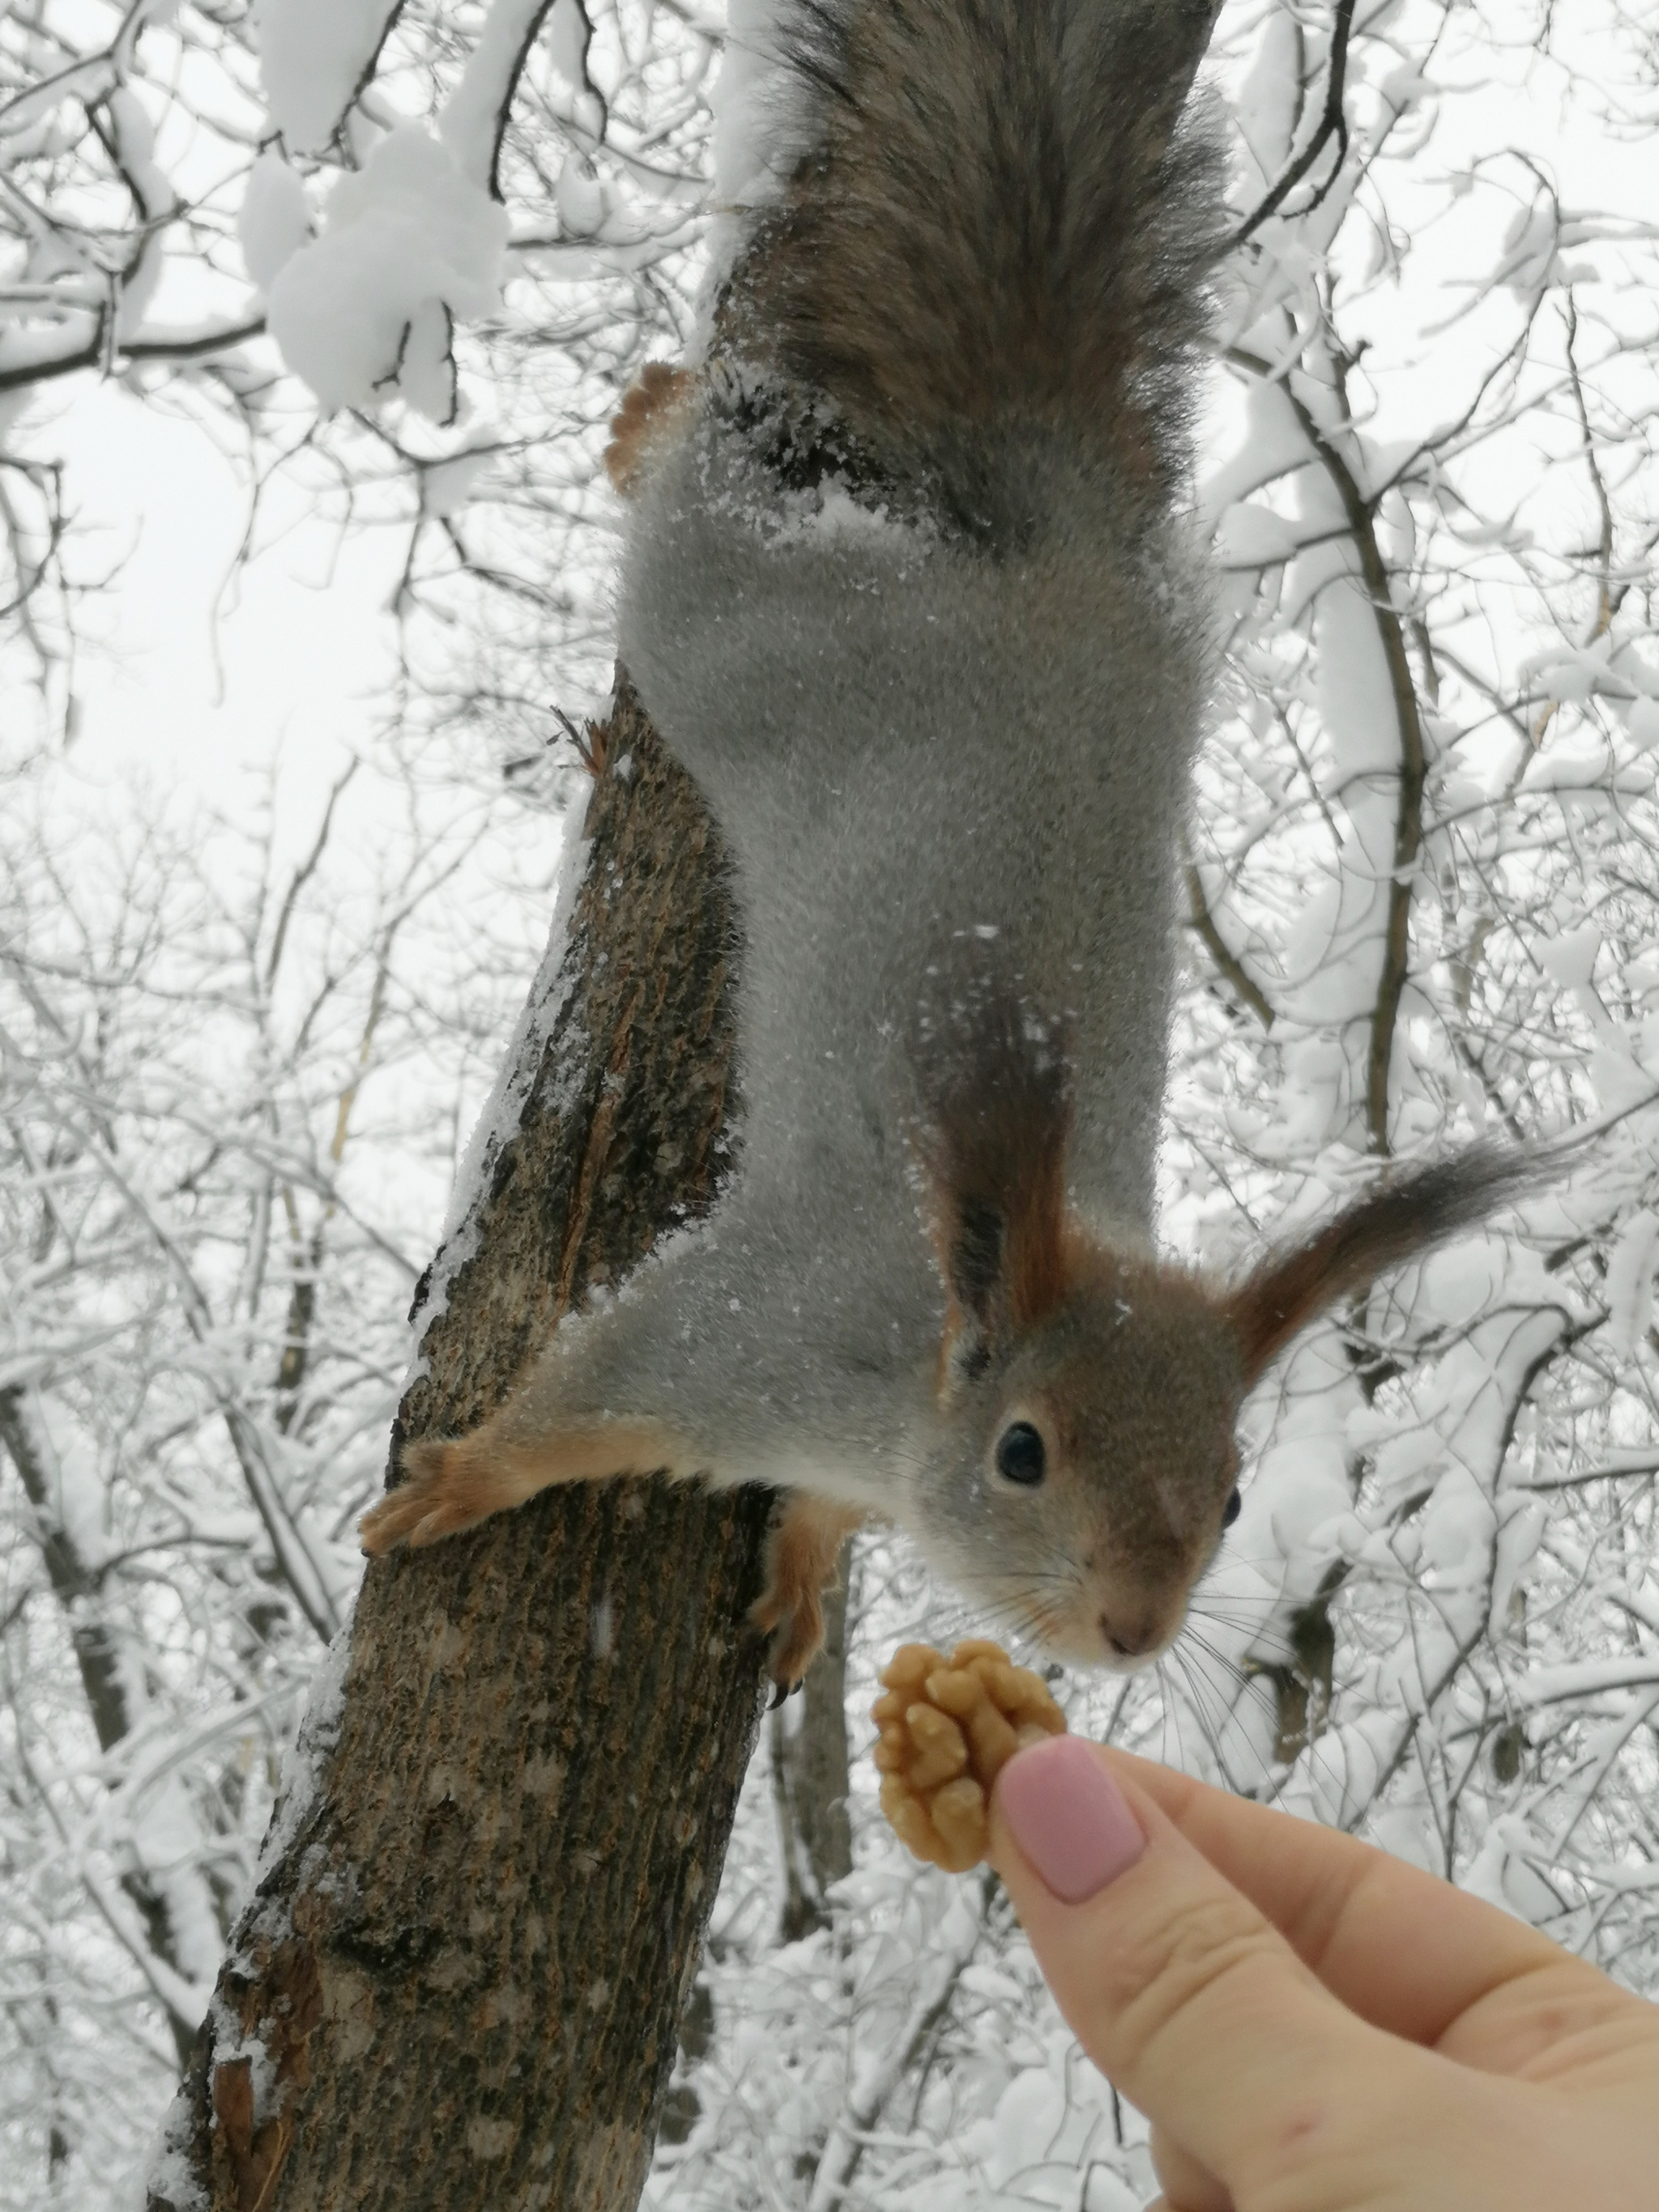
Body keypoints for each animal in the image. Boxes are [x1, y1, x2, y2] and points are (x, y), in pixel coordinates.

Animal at [358, 0, 1557, 1681]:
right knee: (695, 487)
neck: (913, 1368)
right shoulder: (742, 1328)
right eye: (1023, 1451)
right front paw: (463, 1478)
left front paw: (802, 1567)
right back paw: (648, 415)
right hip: (735, 634)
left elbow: (815, 1513)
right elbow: (584, 1394)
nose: (1130, 1630)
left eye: (1234, 1491)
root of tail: (1040, 556)